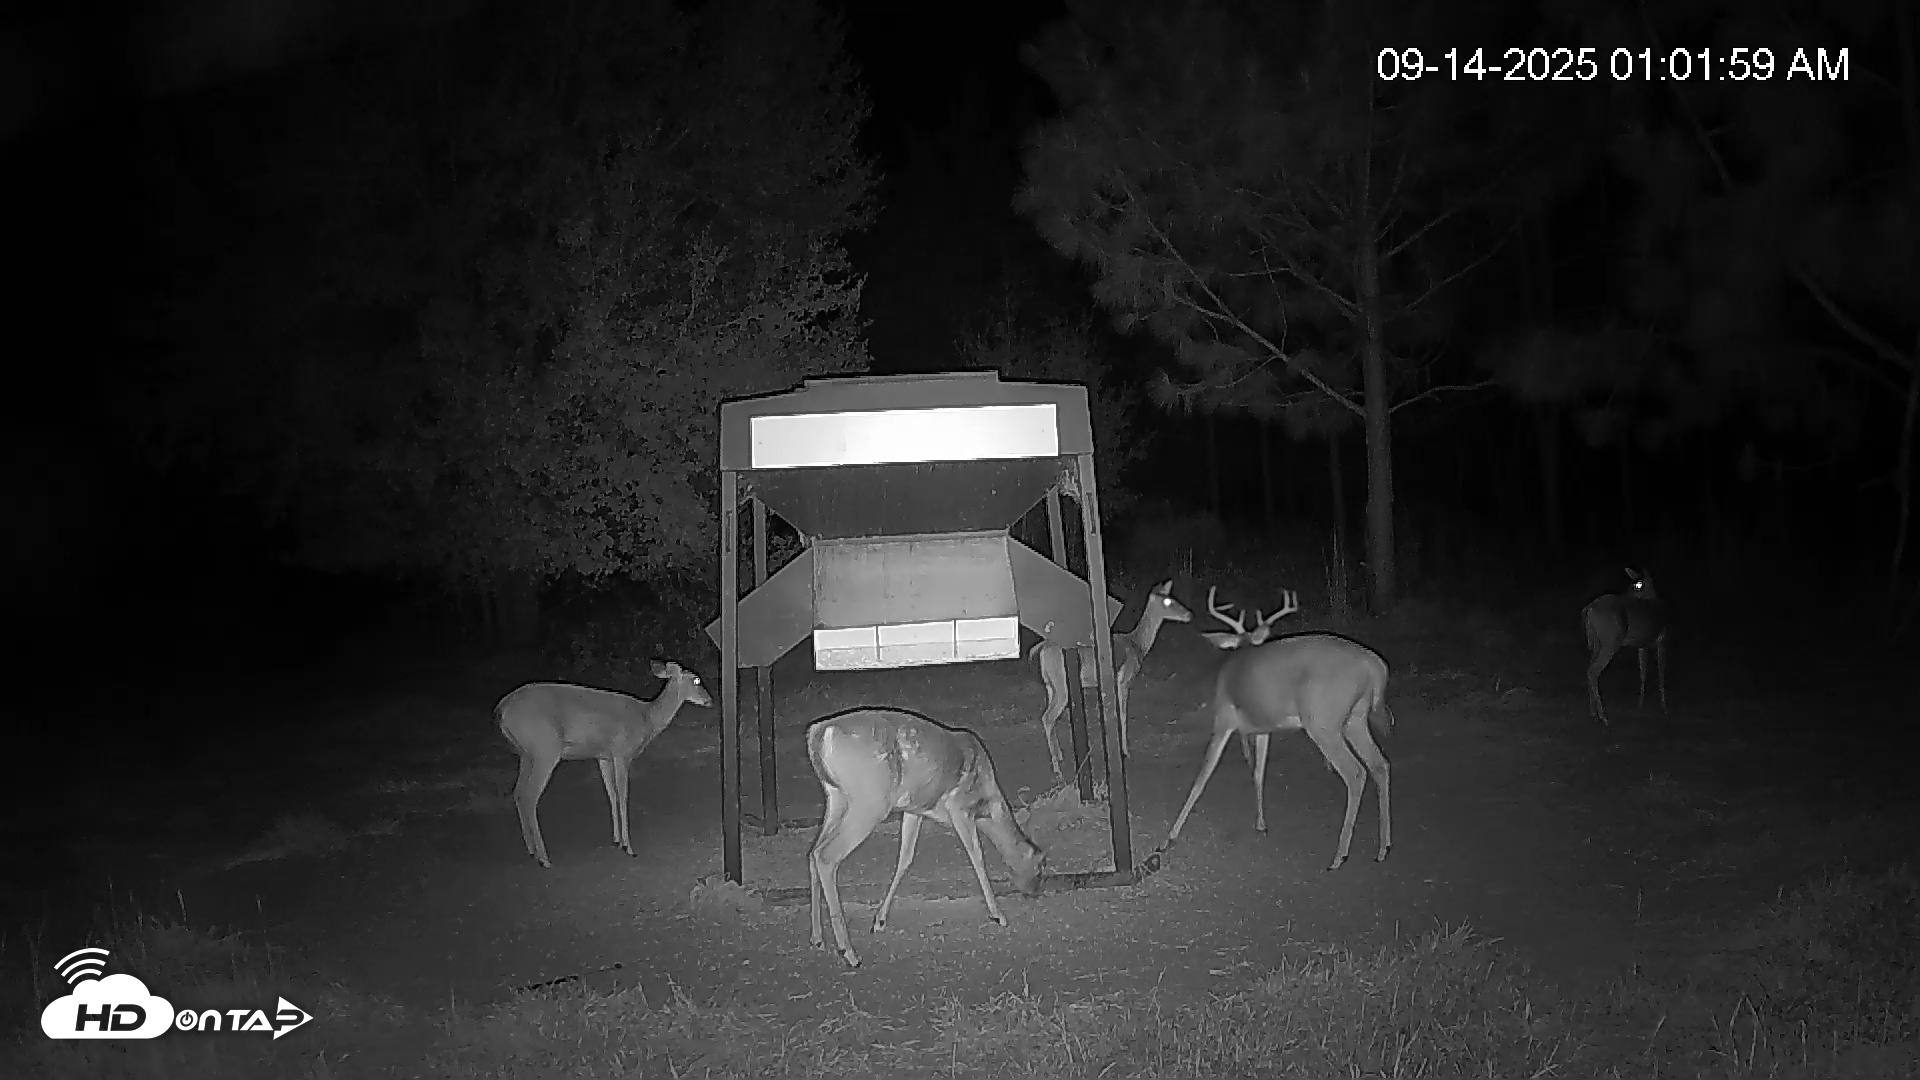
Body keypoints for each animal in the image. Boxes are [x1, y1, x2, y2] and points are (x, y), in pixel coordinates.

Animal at [495, 661, 712, 869]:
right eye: (696, 680)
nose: (710, 700)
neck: (647, 719)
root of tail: (502, 710)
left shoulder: (604, 757)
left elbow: (611, 794)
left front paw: (617, 840)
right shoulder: (621, 752)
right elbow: (623, 796)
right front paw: (629, 847)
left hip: (526, 754)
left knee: (518, 792)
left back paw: (531, 850)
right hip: (545, 749)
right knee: (529, 796)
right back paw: (544, 859)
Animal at [806, 707, 1046, 969]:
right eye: (1040, 865)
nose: (1035, 892)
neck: (988, 804)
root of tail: (819, 732)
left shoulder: (915, 809)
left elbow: (905, 858)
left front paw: (879, 920)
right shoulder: (959, 806)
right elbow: (977, 856)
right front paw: (998, 915)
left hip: (836, 798)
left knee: (814, 851)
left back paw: (818, 939)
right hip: (870, 800)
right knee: (827, 855)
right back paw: (849, 953)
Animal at [1029, 578, 1192, 782]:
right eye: (1168, 601)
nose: (1189, 614)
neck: (1137, 645)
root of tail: (1041, 648)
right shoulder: (1124, 681)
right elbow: (1121, 713)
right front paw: (1125, 751)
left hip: (1050, 685)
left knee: (1048, 716)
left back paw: (1059, 756)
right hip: (1062, 685)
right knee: (1048, 716)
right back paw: (1058, 770)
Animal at [1165, 592, 1394, 871]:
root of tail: (1375, 665)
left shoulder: (1223, 717)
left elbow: (1202, 776)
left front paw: (1171, 835)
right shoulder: (1264, 728)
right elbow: (1258, 773)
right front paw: (1261, 824)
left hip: (1323, 722)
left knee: (1356, 773)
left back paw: (1339, 856)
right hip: (1356, 719)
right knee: (1380, 765)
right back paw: (1383, 848)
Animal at [1581, 567, 1669, 727]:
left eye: (1638, 585)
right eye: (1633, 584)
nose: (1627, 594)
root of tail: (1589, 609)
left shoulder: (1643, 645)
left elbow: (1643, 673)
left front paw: (1640, 704)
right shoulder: (1662, 639)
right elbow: (1661, 674)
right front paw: (1664, 708)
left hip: (1597, 641)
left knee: (1589, 667)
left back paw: (1594, 713)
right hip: (1611, 640)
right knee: (1593, 670)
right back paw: (1603, 717)